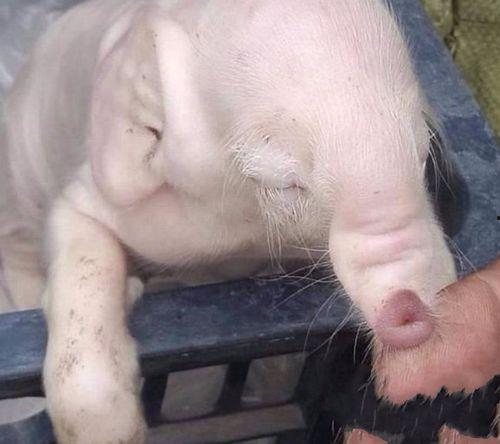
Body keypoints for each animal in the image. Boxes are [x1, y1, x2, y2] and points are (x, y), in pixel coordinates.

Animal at [0, 0, 458, 442]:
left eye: (421, 158)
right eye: (287, 183)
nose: (411, 309)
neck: (242, 240)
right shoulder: (88, 198)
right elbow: (84, 266)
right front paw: (112, 434)